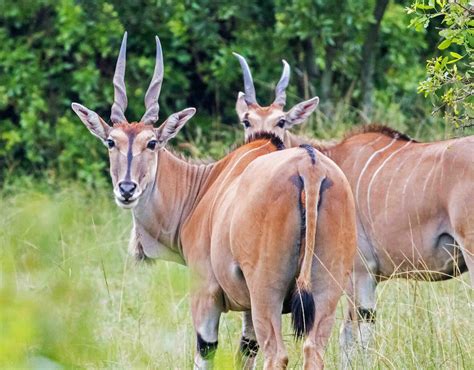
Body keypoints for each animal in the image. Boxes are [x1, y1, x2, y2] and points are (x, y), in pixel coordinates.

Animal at [72, 33, 358, 368]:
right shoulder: (247, 310)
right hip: (326, 291)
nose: (126, 189)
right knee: (313, 350)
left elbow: (205, 351)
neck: (201, 186)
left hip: (267, 294)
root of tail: (309, 166)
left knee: (277, 354)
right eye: (110, 141)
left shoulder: (205, 293)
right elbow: (245, 350)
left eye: (152, 142)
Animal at [233, 53, 474, 366]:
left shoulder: (357, 274)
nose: (262, 141)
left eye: (282, 121)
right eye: (246, 121)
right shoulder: (366, 279)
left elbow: (351, 337)